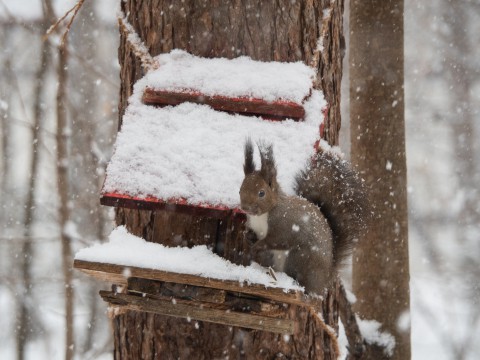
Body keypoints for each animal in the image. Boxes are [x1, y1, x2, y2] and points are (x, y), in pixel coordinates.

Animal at [238, 139, 370, 296]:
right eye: (240, 189)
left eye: (261, 193)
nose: (245, 208)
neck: (263, 215)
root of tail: (325, 280)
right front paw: (247, 236)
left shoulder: (285, 224)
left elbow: (277, 240)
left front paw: (258, 245)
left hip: (299, 258)